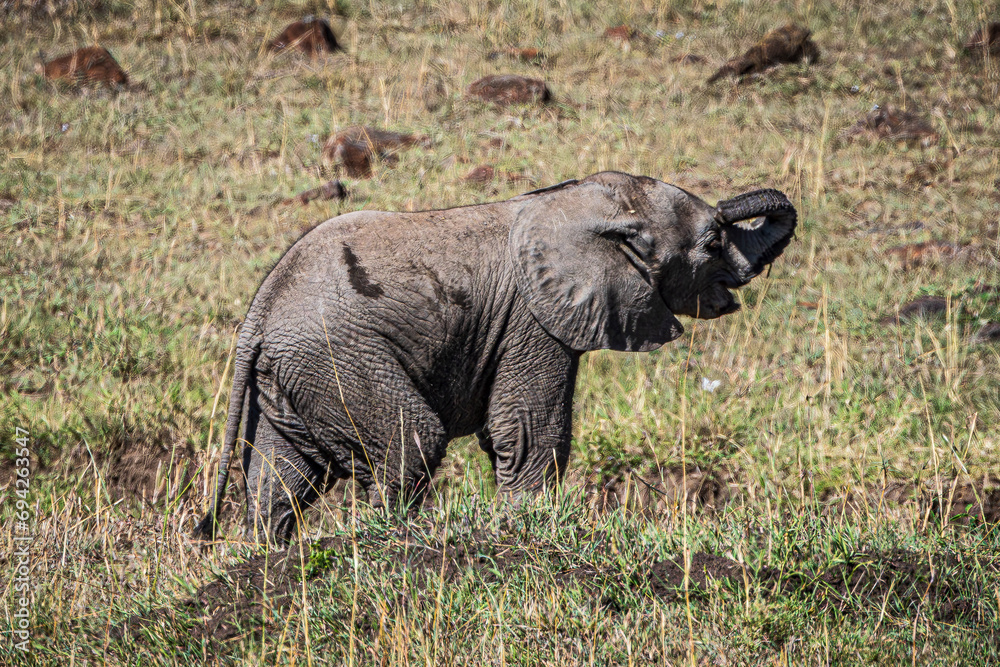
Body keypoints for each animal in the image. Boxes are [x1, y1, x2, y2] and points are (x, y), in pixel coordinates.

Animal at [194, 171, 796, 544]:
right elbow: (530, 426)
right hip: (338, 359)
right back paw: (393, 538)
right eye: (712, 243)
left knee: (280, 477)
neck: (573, 200)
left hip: (291, 376)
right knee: (408, 441)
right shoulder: (534, 316)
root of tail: (260, 311)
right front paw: (527, 526)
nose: (727, 217)